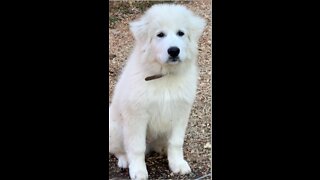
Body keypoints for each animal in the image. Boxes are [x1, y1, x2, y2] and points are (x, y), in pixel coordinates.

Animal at [109, 3, 206, 179]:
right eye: (160, 35)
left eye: (181, 33)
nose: (173, 51)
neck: (164, 76)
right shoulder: (137, 116)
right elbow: (137, 147)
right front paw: (139, 171)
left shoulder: (181, 112)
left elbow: (176, 142)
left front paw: (177, 164)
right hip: (116, 129)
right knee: (117, 149)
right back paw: (124, 161)